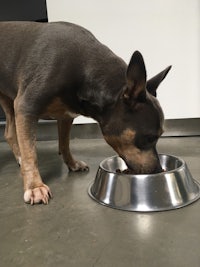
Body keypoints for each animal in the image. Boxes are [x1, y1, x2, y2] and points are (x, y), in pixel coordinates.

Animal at [0, 21, 171, 205]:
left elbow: (64, 143)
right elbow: (30, 152)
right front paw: (34, 186)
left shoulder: (66, 116)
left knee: (9, 132)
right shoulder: (26, 107)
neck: (84, 70)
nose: (158, 170)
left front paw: (72, 163)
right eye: (150, 138)